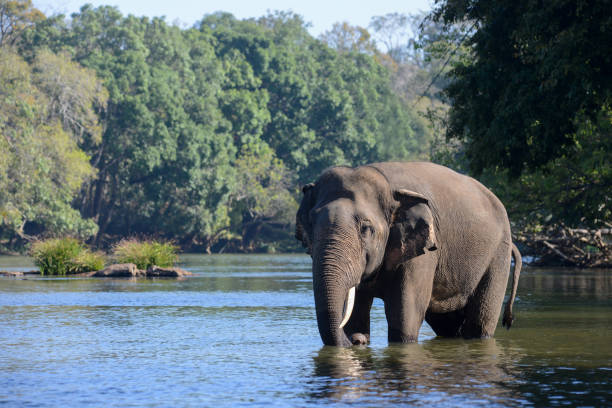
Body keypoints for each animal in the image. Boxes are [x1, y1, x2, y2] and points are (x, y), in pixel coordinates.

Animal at [296, 161, 520, 346]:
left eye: (366, 229)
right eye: (311, 227)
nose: (357, 341)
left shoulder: (424, 252)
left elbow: (405, 314)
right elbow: (357, 310)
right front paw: (356, 333)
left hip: (498, 254)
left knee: (480, 322)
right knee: (446, 323)